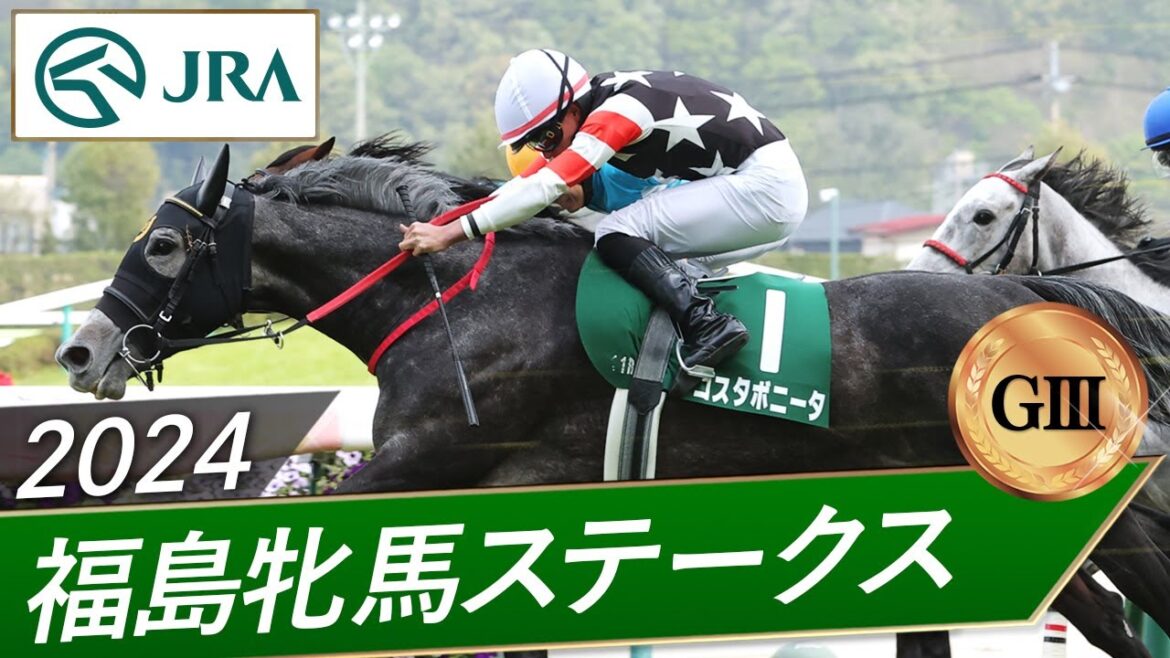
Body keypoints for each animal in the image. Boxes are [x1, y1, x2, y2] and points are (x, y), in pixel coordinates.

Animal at [57, 139, 1170, 658]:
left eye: (166, 245)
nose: (78, 349)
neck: (458, 299)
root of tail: (1025, 294)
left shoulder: (423, 466)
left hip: (1107, 520)